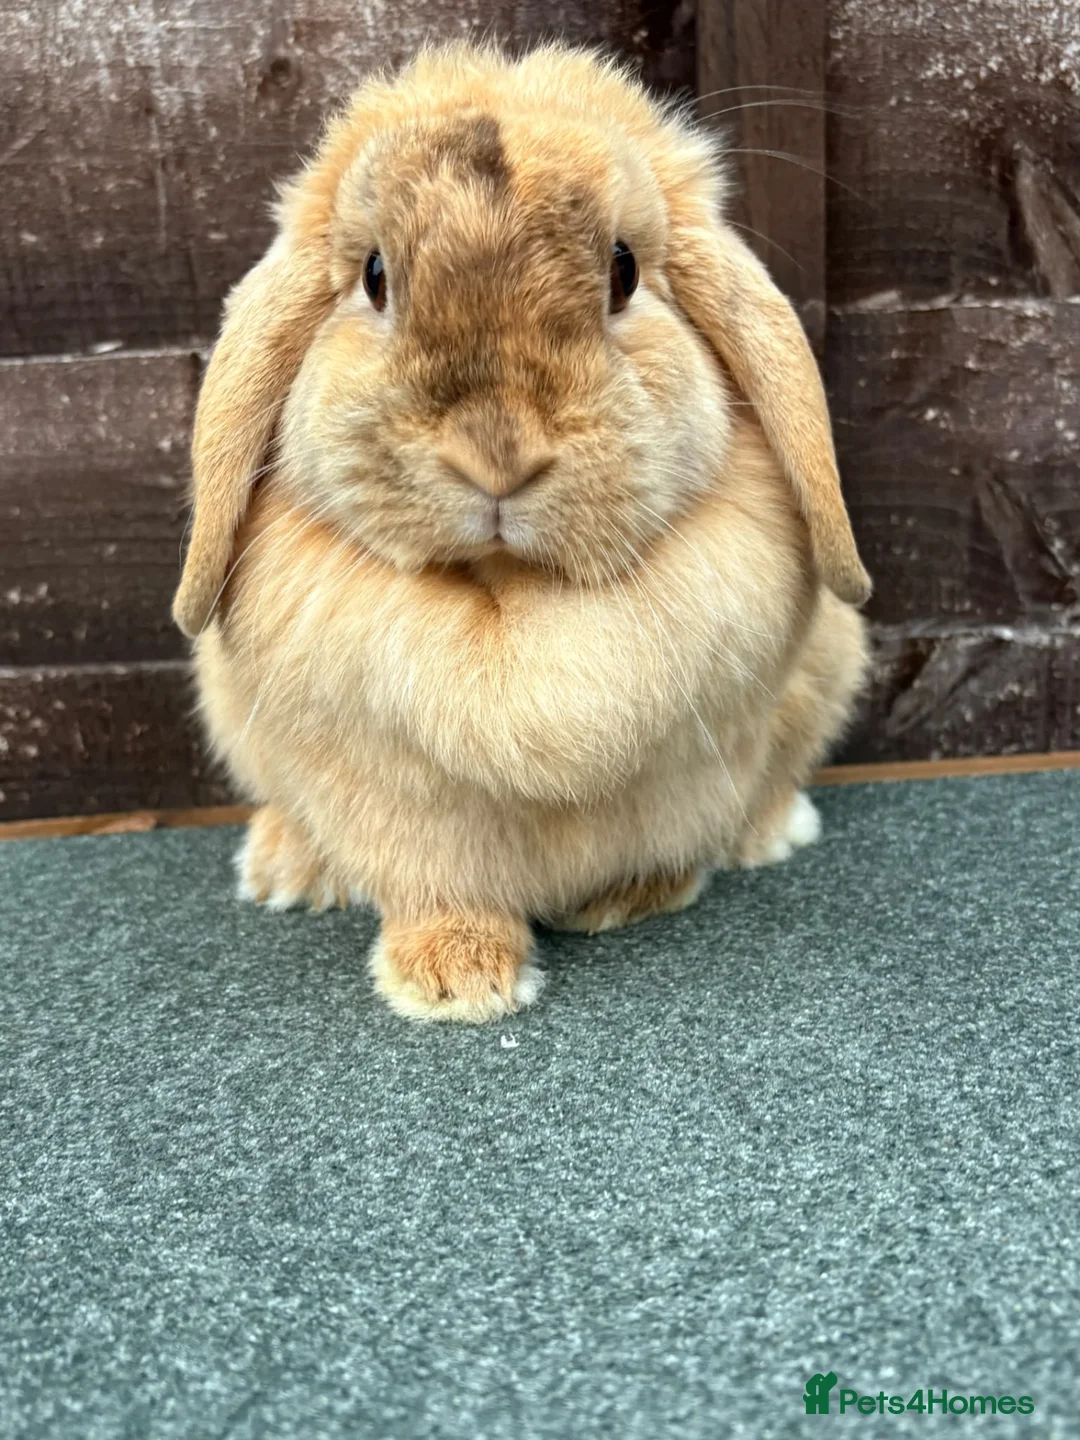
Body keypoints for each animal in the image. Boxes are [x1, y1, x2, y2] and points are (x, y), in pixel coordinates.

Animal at [174, 41, 871, 1023]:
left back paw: (771, 830)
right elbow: (435, 887)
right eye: (375, 277)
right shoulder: (396, 806)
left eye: (623, 270)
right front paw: (456, 981)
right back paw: (285, 867)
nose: (496, 454)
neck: (511, 597)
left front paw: (626, 900)